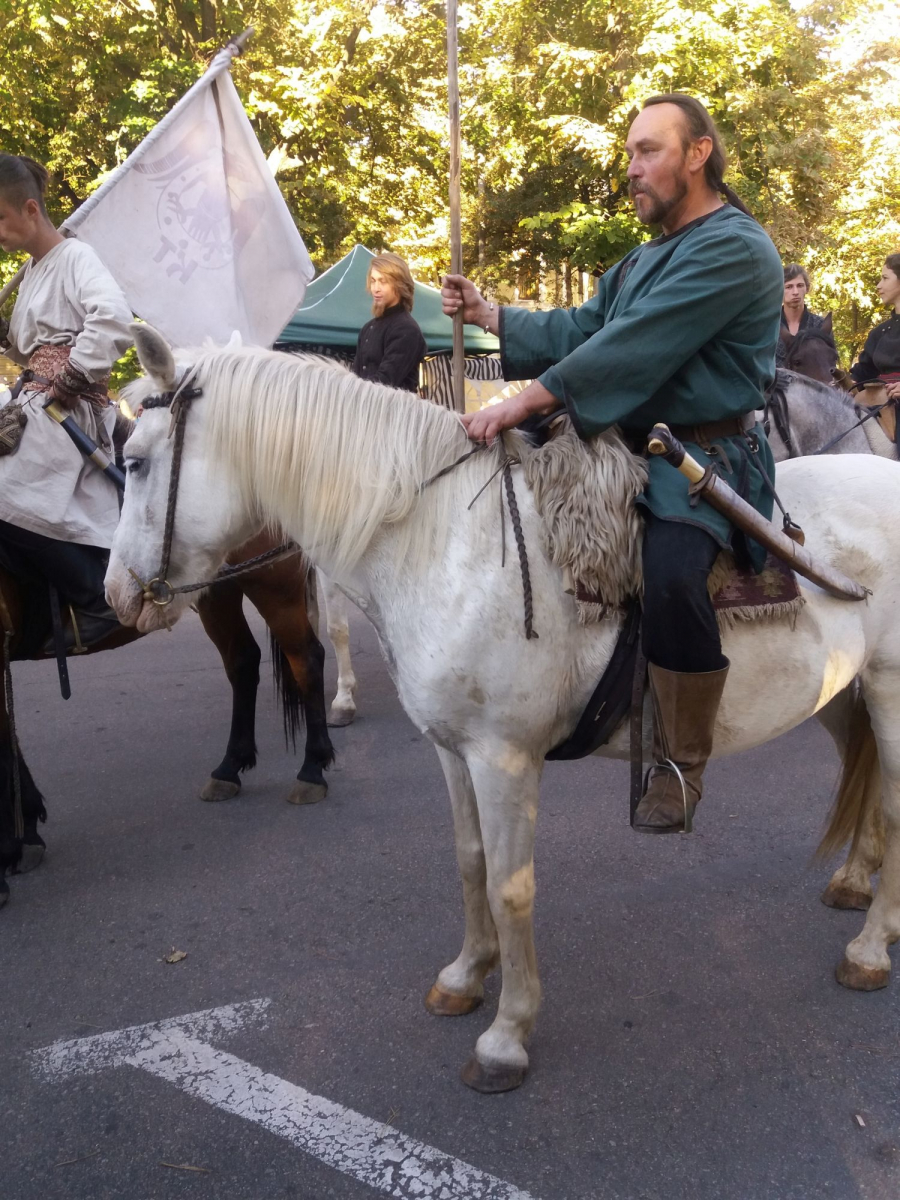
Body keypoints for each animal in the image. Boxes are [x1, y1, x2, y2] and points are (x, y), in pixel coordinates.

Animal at [0, 528, 336, 907]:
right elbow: (9, 743)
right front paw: (26, 830)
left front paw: (10, 851)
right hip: (218, 590)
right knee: (243, 662)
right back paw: (229, 767)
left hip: (271, 581)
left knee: (306, 659)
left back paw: (312, 768)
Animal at [107, 326, 900, 1089]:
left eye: (136, 463)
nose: (117, 595)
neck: (441, 540)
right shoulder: (452, 749)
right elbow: (470, 862)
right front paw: (465, 977)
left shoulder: (504, 758)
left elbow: (510, 887)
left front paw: (506, 1035)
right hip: (841, 693)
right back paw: (856, 889)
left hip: (889, 692)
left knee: (892, 808)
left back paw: (868, 950)